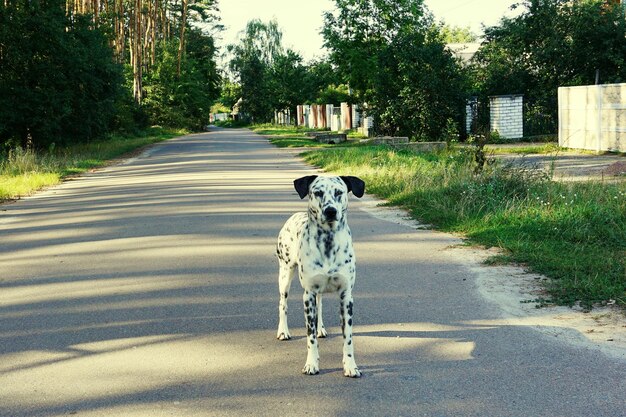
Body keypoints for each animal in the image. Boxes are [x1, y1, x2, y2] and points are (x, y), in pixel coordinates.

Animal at [276, 174, 364, 376]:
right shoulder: (308, 295)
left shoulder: (346, 297)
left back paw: (321, 329)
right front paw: (311, 364)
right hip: (285, 274)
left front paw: (351, 366)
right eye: (318, 192)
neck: (328, 241)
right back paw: (283, 331)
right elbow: (310, 338)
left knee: (320, 305)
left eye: (339, 192)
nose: (330, 211)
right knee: (283, 304)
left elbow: (348, 338)